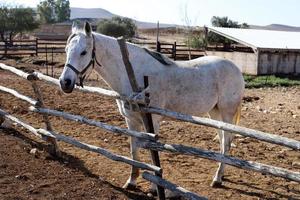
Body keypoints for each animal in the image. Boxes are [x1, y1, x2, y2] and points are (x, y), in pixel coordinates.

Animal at [58, 21, 244, 189]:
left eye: (83, 52)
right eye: (66, 50)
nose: (65, 82)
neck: (134, 75)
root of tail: (236, 69)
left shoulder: (152, 121)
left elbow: (152, 152)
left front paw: (155, 187)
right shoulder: (131, 121)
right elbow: (134, 150)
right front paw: (132, 181)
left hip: (226, 113)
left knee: (226, 143)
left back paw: (217, 179)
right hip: (214, 113)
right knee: (223, 142)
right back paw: (220, 175)